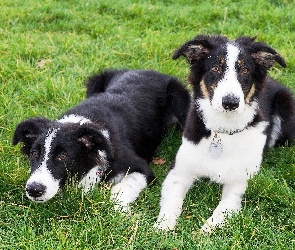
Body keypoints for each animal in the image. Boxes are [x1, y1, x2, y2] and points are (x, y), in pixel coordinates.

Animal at [12, 69, 190, 210]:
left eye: (63, 156)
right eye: (34, 154)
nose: (34, 190)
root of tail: (148, 70)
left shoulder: (143, 170)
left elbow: (121, 188)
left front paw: (120, 210)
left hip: (178, 98)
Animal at [155, 34, 295, 232]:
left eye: (245, 70)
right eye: (215, 68)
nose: (230, 102)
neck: (223, 131)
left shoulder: (239, 182)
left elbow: (223, 208)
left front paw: (204, 230)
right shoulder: (178, 171)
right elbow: (171, 201)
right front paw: (163, 226)